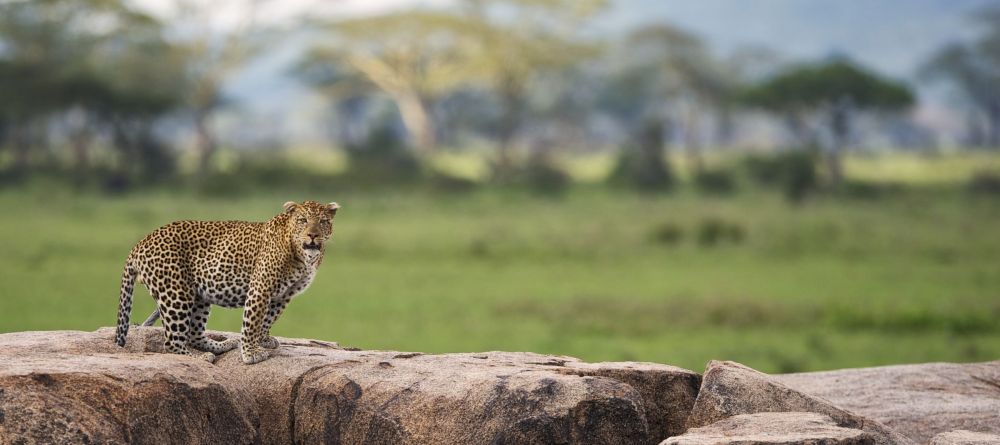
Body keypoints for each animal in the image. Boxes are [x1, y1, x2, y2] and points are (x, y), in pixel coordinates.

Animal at [115, 199, 342, 362]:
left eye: (323, 222)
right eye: (303, 220)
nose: (313, 235)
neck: (303, 258)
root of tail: (140, 243)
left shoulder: (283, 295)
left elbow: (268, 319)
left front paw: (263, 340)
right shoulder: (260, 288)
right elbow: (252, 321)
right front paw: (250, 352)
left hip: (199, 295)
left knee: (194, 333)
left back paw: (222, 345)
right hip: (176, 293)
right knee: (172, 342)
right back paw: (199, 358)